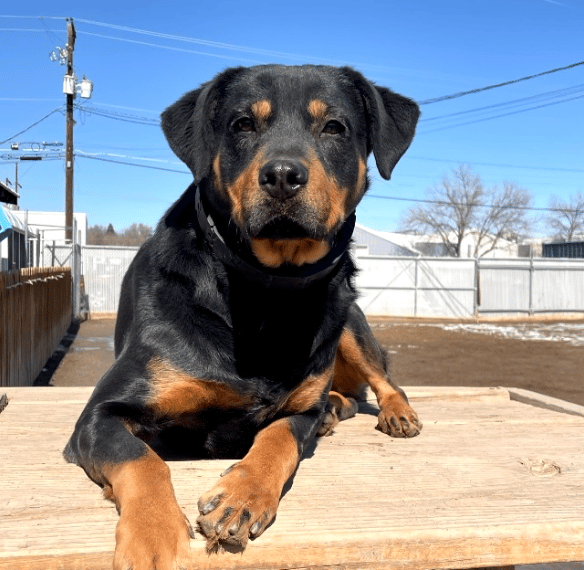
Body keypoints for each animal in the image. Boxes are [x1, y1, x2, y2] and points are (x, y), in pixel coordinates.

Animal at [64, 64, 422, 568]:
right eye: (242, 124)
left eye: (334, 127)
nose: (283, 175)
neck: (268, 291)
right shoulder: (99, 416)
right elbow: (140, 456)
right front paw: (153, 534)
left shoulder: (298, 412)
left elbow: (278, 438)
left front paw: (242, 496)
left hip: (350, 321)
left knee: (382, 380)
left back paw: (393, 412)